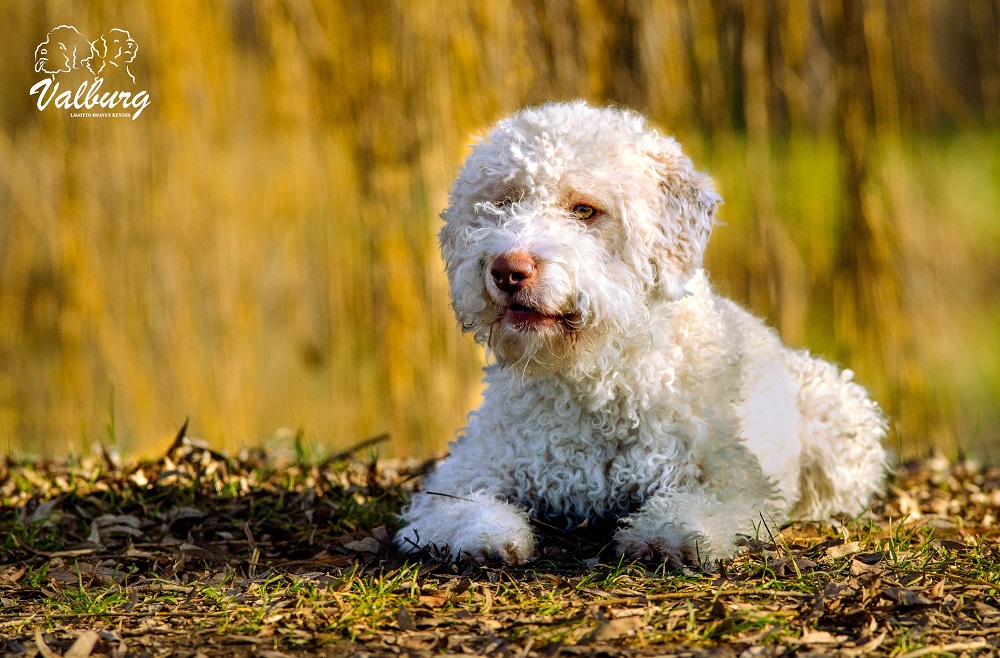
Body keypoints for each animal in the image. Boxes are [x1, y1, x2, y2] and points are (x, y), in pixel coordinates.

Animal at [394, 101, 888, 564]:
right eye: (502, 202)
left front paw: (668, 534)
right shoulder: (465, 473)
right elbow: (458, 506)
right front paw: (488, 536)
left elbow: (700, 505)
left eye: (585, 210)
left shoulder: (733, 478)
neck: (592, 378)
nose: (507, 270)